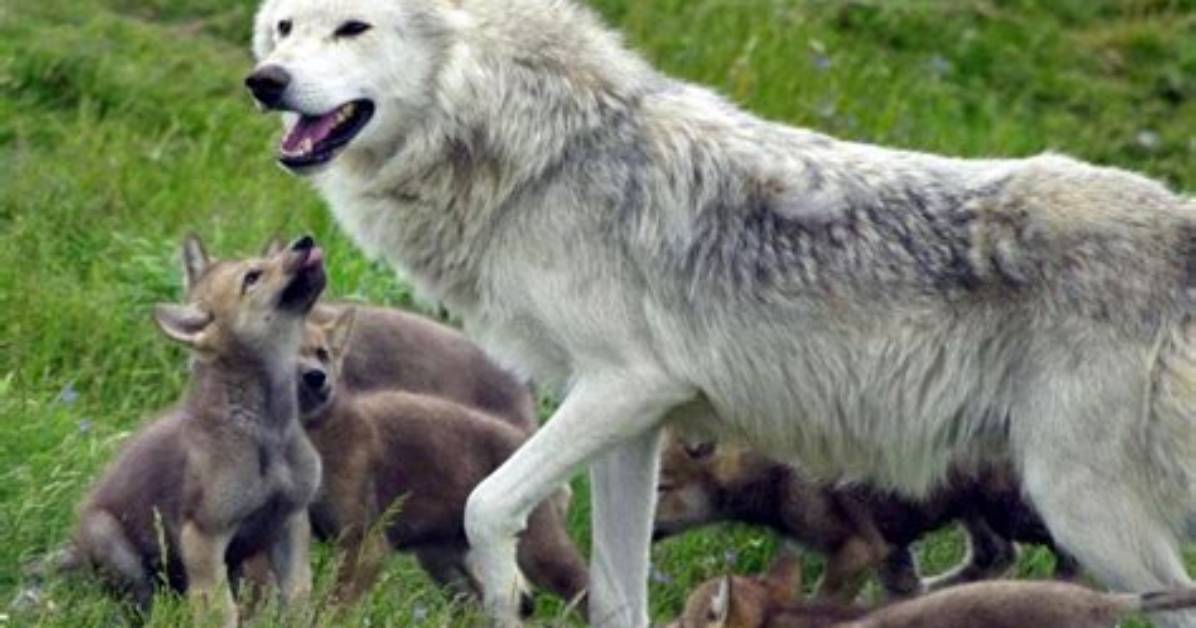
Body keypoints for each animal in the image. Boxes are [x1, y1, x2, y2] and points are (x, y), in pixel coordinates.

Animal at [71, 234, 325, 626]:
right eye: (252, 277)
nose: (305, 240)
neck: (266, 429)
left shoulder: (291, 523)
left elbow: (298, 596)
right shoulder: (203, 535)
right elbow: (221, 610)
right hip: (109, 537)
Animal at [247, 0, 1196, 625]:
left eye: (353, 29)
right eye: (286, 28)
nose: (265, 81)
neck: (536, 154)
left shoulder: (622, 388)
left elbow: (486, 507)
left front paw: (506, 593)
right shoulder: (631, 421)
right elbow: (617, 593)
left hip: (1084, 510)